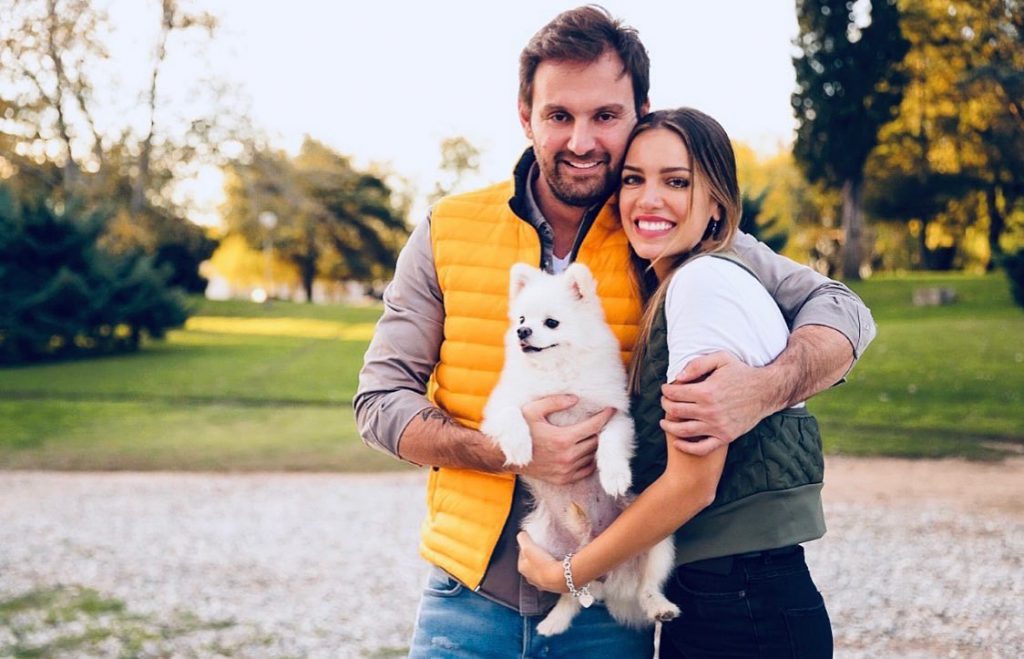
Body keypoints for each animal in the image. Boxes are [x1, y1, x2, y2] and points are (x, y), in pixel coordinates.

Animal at [481, 262, 678, 637]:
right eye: (521, 318)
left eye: (550, 322)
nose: (523, 331)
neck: (558, 373)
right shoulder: (502, 405)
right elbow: (513, 415)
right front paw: (520, 447)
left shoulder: (613, 414)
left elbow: (610, 442)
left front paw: (614, 476)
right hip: (542, 545)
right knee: (569, 590)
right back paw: (554, 622)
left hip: (658, 541)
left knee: (647, 586)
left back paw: (660, 607)